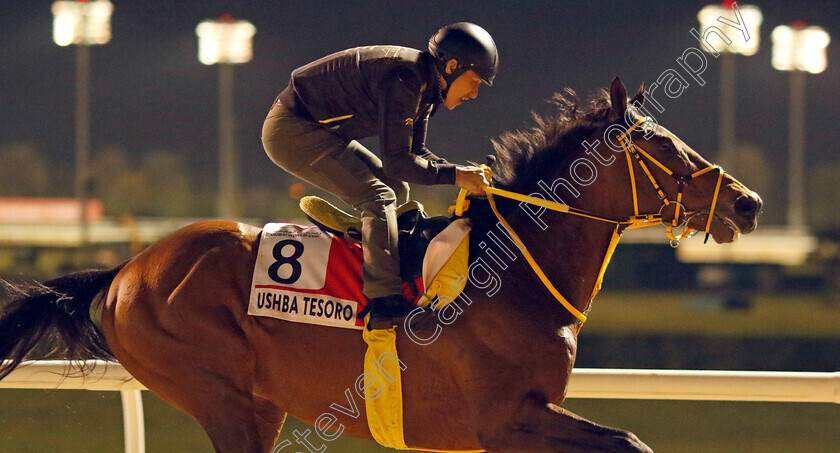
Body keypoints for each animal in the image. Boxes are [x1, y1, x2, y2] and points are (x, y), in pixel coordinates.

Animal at [0, 78, 760, 452]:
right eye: (660, 145)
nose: (747, 203)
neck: (515, 271)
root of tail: (128, 270)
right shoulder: (504, 421)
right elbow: (630, 441)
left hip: (254, 404)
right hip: (223, 397)